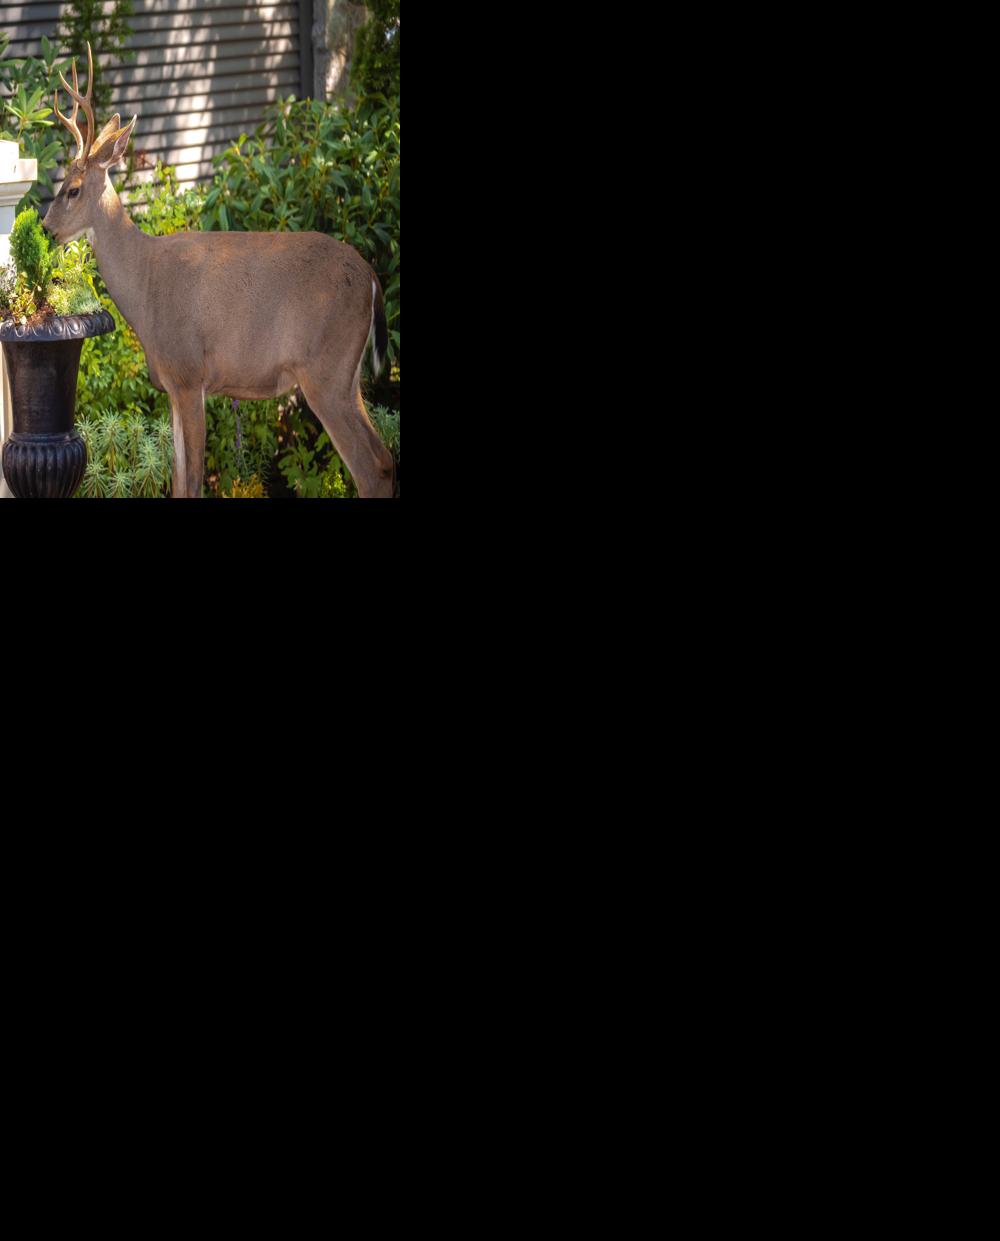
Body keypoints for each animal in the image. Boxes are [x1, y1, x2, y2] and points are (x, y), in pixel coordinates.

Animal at [44, 44, 394, 498]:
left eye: (72, 189)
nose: (46, 229)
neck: (145, 285)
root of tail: (371, 277)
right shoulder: (173, 385)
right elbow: (178, 480)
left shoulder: (190, 374)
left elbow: (192, 481)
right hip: (346, 376)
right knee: (383, 458)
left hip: (326, 370)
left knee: (372, 466)